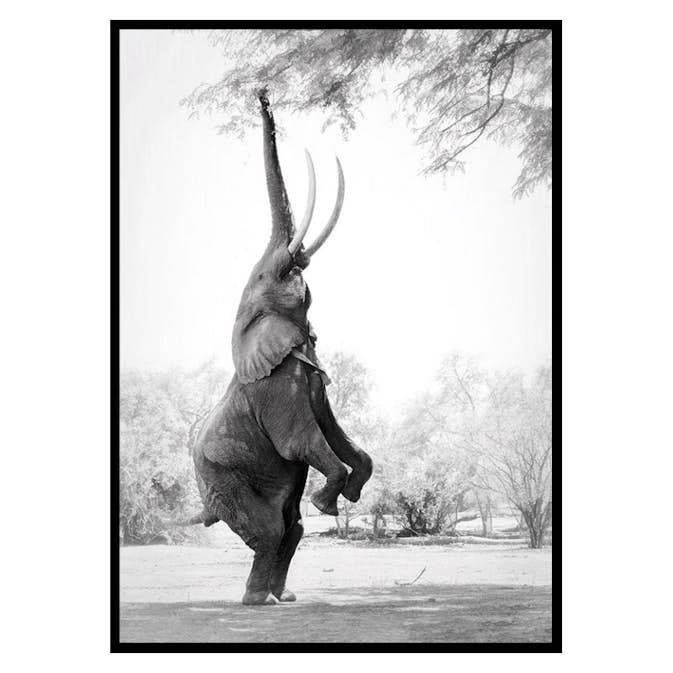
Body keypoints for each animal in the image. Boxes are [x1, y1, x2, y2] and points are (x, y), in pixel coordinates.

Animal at [190, 90, 373, 606]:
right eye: (263, 276)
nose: (262, 92)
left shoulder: (310, 377)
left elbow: (338, 435)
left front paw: (348, 495)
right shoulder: (275, 387)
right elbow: (302, 441)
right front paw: (328, 502)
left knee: (291, 529)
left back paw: (280, 598)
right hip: (221, 475)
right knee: (271, 530)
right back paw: (257, 601)